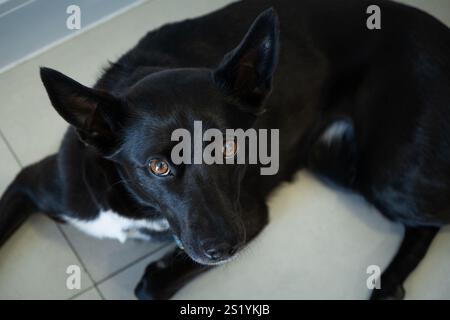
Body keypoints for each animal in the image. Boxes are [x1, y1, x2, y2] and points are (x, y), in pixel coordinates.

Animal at [0, 0, 450, 300]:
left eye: (232, 146)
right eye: (157, 167)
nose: (226, 248)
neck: (136, 205)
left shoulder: (249, 214)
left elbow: (149, 285)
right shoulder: (31, 183)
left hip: (386, 173)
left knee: (431, 219)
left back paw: (390, 283)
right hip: (335, 159)